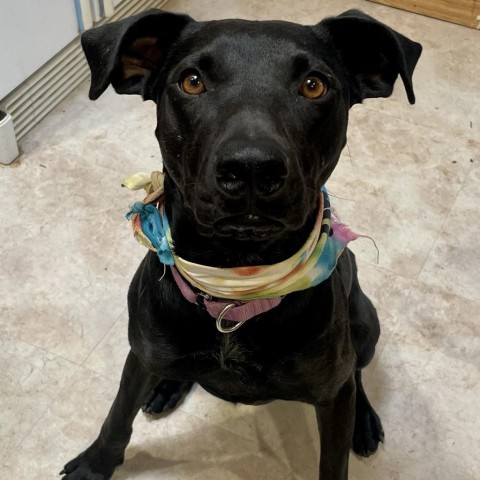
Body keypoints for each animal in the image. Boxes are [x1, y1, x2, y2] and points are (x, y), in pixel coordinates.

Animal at [60, 8, 420, 480]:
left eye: (313, 85)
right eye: (192, 81)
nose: (251, 168)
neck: (235, 285)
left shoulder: (331, 392)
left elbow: (334, 454)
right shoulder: (141, 355)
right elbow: (118, 413)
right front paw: (95, 462)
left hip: (365, 323)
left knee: (356, 374)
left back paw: (364, 420)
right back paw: (167, 386)